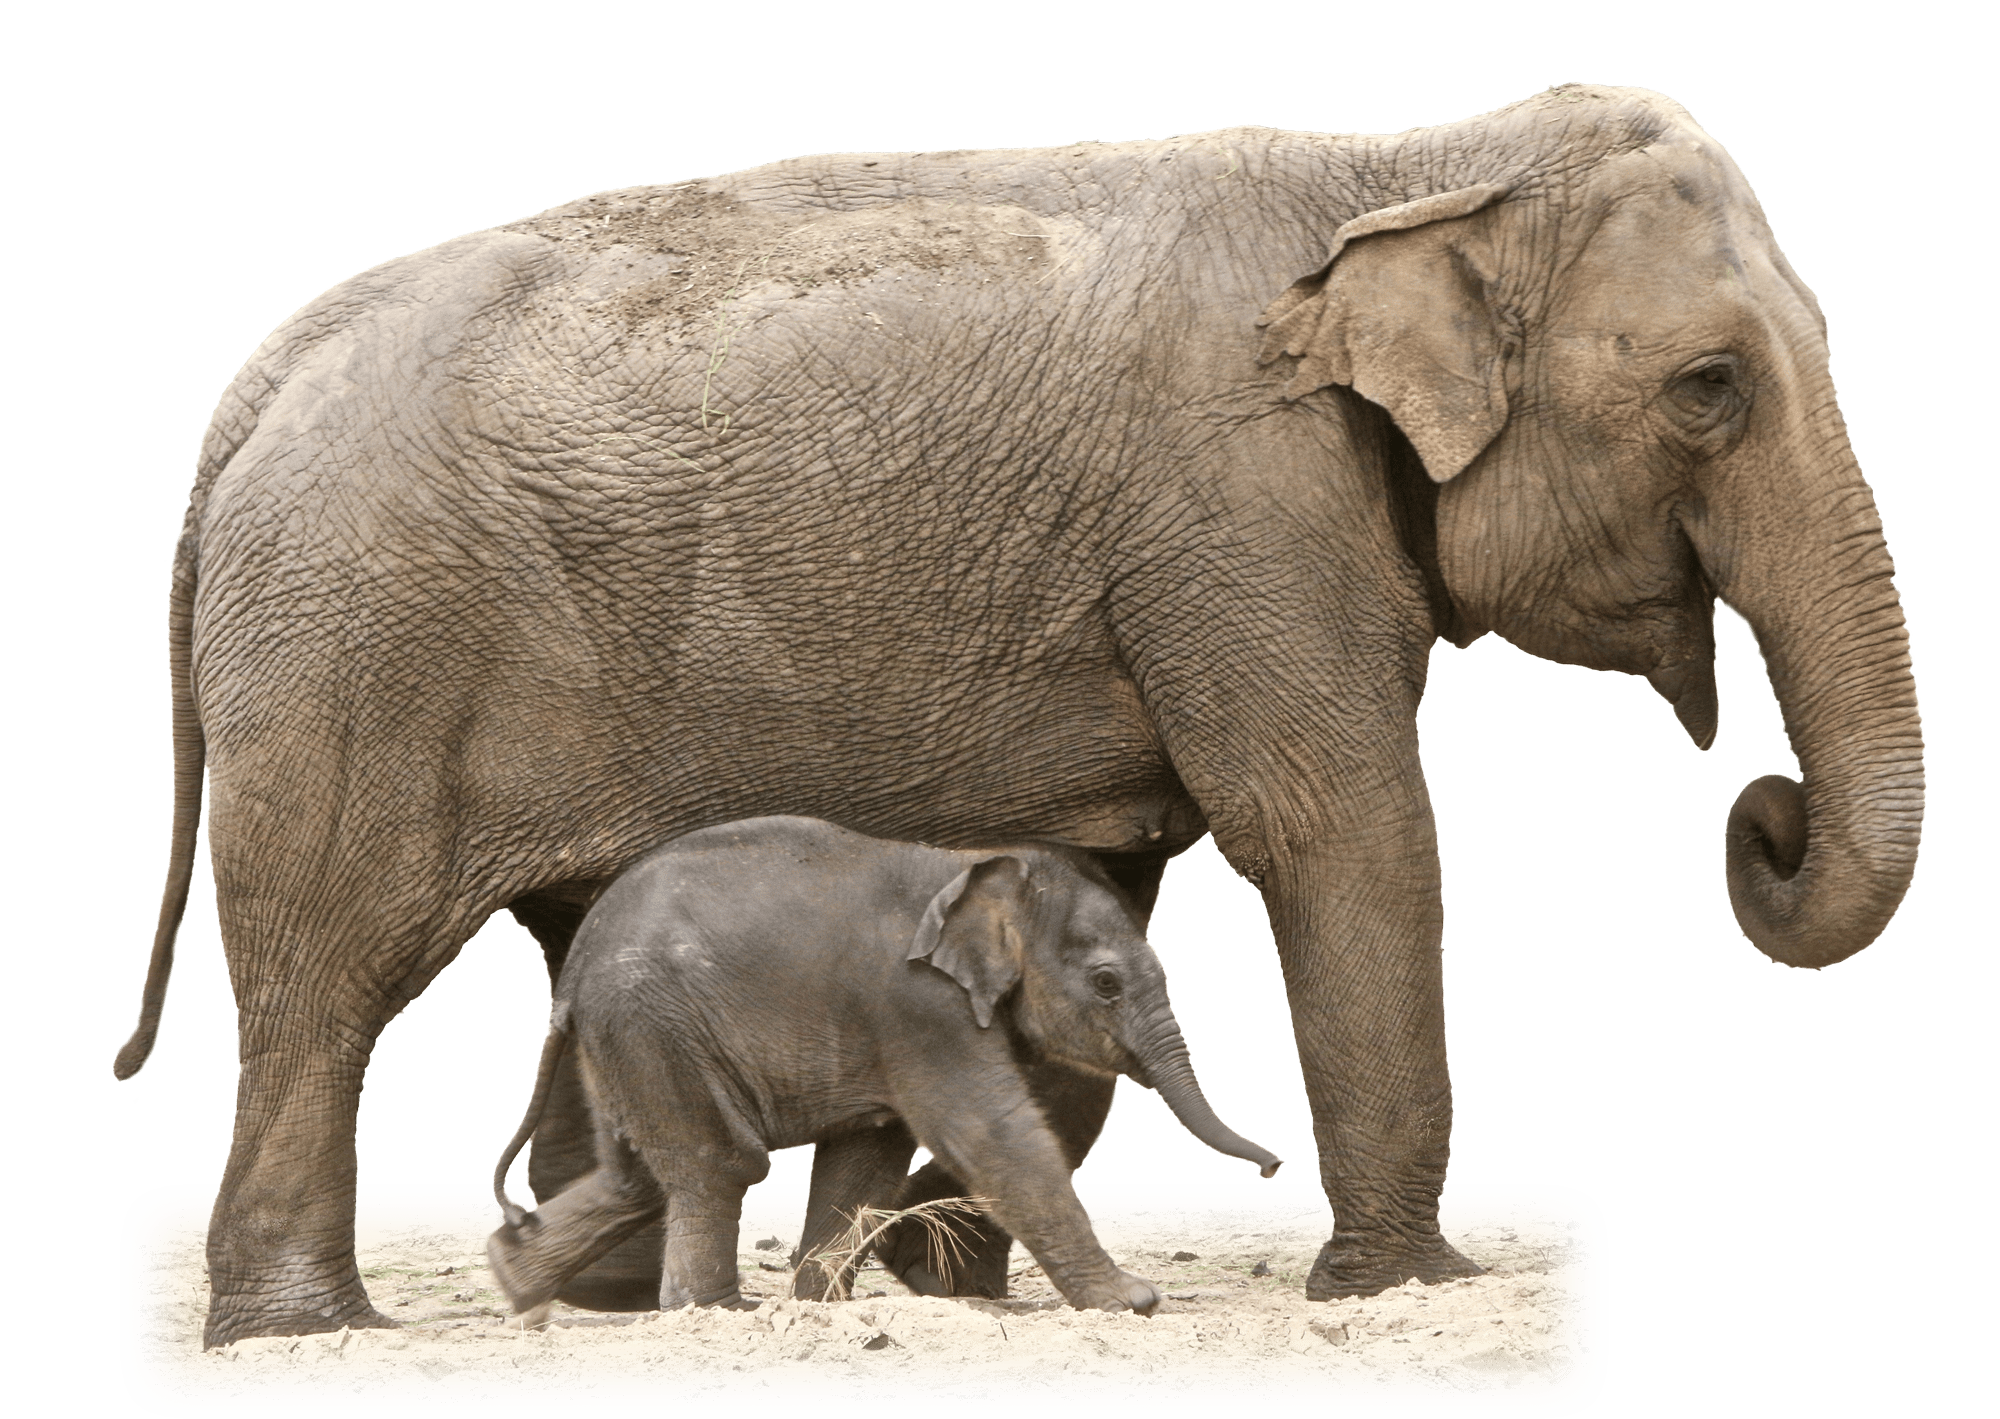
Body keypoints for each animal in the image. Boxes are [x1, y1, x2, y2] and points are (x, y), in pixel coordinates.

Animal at [481, 815, 1281, 1318]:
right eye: (1107, 983)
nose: (1275, 1166)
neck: (978, 865)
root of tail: (571, 978)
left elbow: (866, 1157)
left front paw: (818, 1308)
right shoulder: (918, 1007)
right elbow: (990, 1133)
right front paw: (1133, 1302)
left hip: (628, 1036)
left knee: (638, 1176)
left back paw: (513, 1282)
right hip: (654, 1022)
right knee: (720, 1162)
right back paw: (714, 1312)